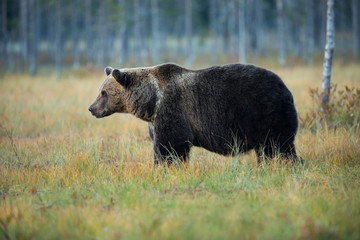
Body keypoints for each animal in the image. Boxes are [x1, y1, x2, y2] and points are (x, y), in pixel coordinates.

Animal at [90, 63, 300, 165]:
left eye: (104, 93)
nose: (91, 108)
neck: (151, 101)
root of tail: (286, 89)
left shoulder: (173, 109)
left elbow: (172, 145)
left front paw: (170, 167)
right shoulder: (155, 121)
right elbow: (158, 146)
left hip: (263, 112)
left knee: (277, 146)